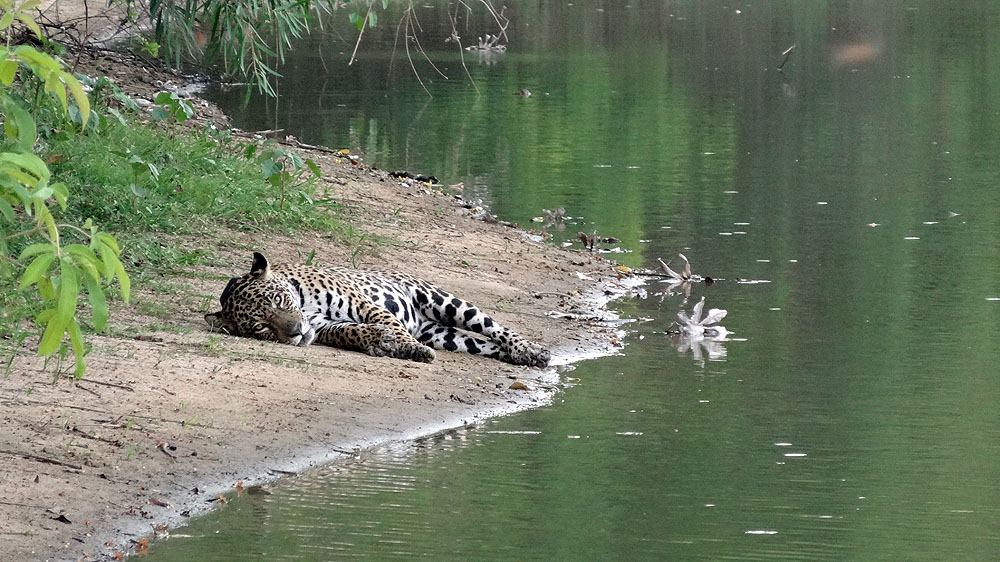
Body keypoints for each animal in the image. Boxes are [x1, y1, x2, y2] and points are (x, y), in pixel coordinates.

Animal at [204, 252, 551, 368]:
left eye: (277, 300)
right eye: (261, 327)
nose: (295, 333)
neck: (303, 303)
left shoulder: (361, 302)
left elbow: (387, 320)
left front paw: (407, 348)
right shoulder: (324, 327)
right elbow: (350, 332)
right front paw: (379, 340)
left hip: (444, 302)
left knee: (495, 328)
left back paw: (531, 350)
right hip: (443, 336)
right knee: (484, 344)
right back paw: (518, 357)